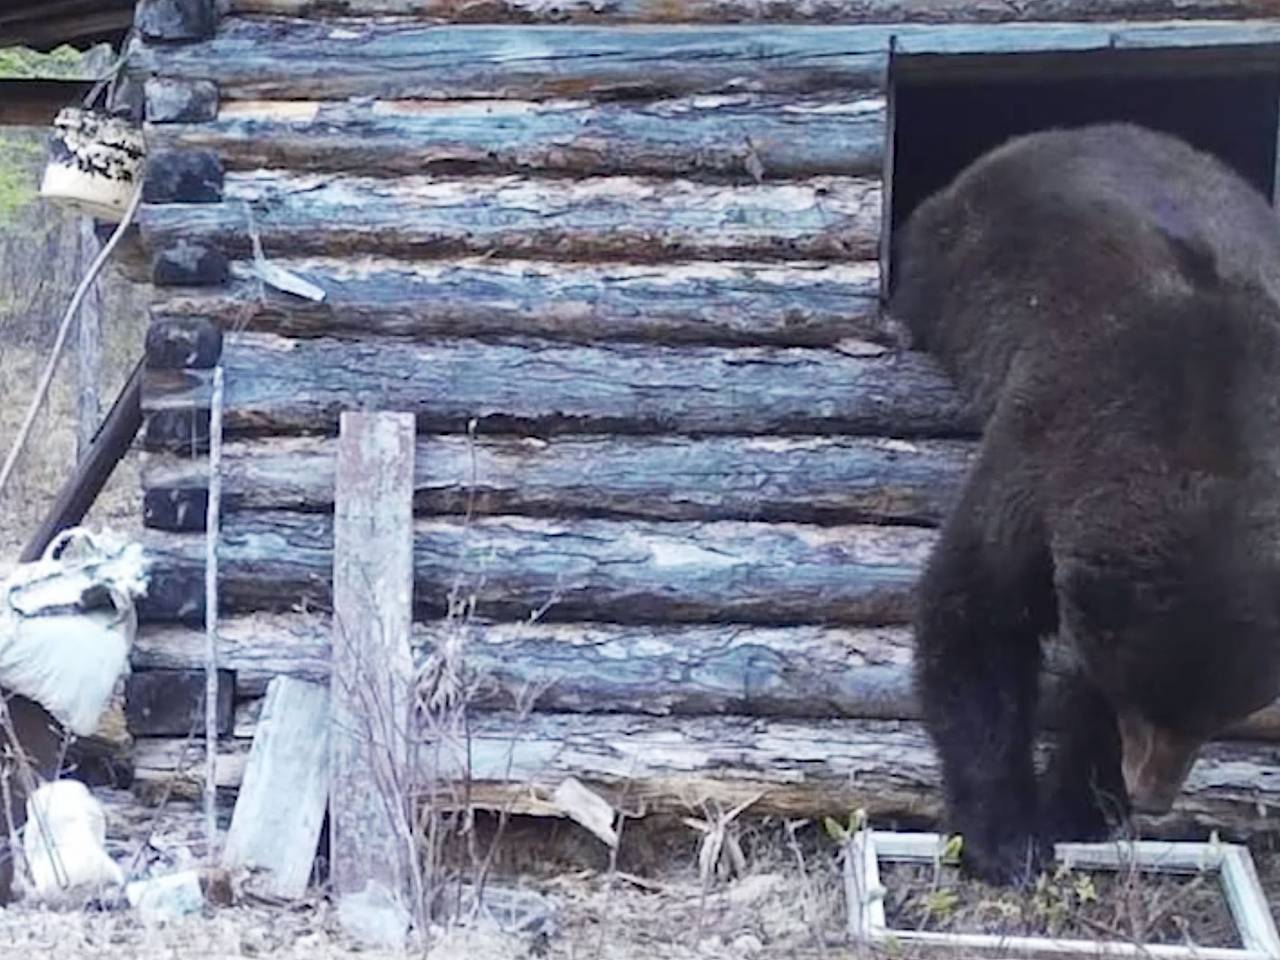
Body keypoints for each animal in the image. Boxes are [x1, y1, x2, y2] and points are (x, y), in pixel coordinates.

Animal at [896, 124, 1280, 890]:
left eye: (1219, 712)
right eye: (1145, 701)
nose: (1153, 792)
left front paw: (1079, 802)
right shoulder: (1046, 445)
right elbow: (976, 615)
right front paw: (1010, 838)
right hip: (940, 250)